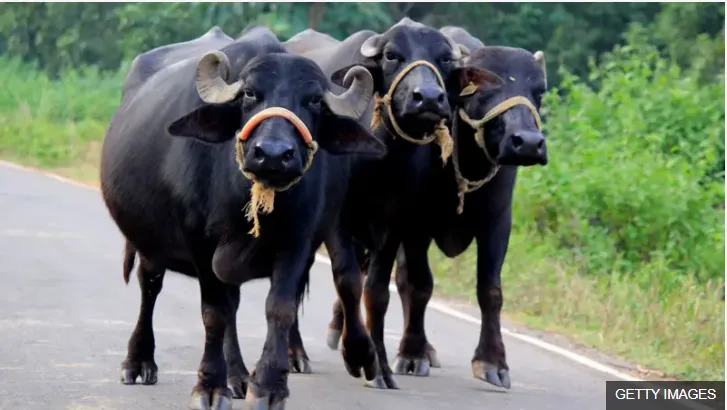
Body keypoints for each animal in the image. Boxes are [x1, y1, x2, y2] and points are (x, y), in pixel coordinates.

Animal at [100, 25, 389, 410]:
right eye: (251, 93)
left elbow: (279, 308)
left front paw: (267, 386)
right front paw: (210, 386)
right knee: (151, 285)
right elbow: (214, 313)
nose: (274, 154)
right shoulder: (201, 243)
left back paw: (238, 375)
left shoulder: (297, 243)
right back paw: (140, 361)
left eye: (313, 100)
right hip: (148, 242)